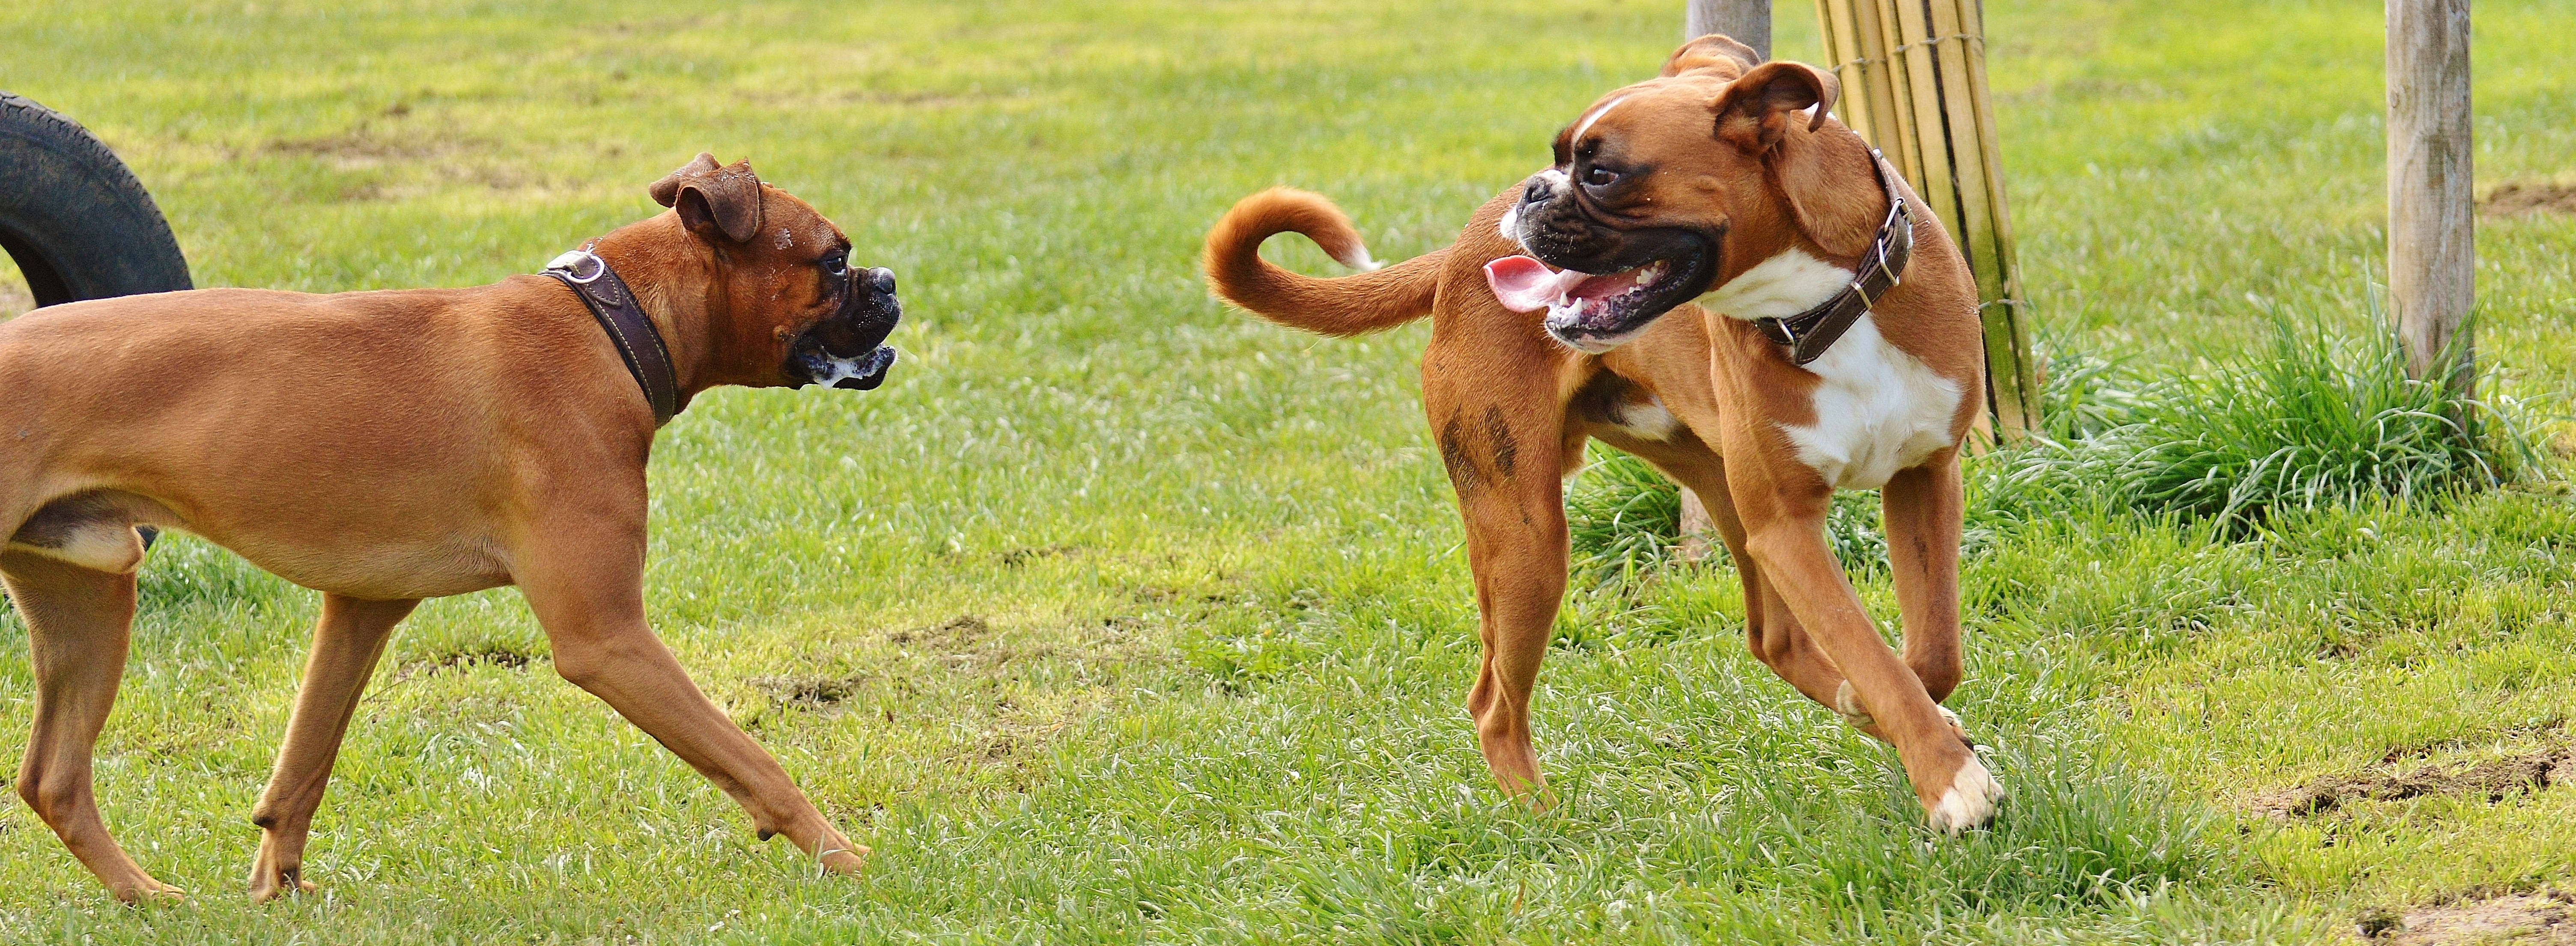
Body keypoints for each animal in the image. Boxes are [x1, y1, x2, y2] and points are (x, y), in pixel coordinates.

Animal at [2, 152, 906, 902]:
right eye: (832, 259)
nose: (891, 280)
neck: (612, 325)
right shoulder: (608, 637)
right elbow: (754, 758)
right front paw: (848, 858)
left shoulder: (359, 611)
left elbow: (303, 764)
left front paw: (276, 884)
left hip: (89, 600)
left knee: (52, 777)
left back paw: (145, 896)